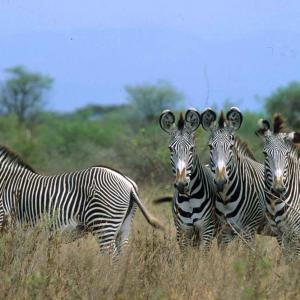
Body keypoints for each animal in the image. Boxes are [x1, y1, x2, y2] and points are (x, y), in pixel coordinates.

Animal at [159, 109, 218, 250]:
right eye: (170, 148)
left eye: (192, 148)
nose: (181, 184)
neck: (190, 198)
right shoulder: (183, 232)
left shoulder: (207, 230)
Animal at [200, 108, 270, 246]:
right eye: (210, 146)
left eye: (231, 146)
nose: (220, 182)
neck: (226, 198)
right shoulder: (225, 229)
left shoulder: (250, 228)